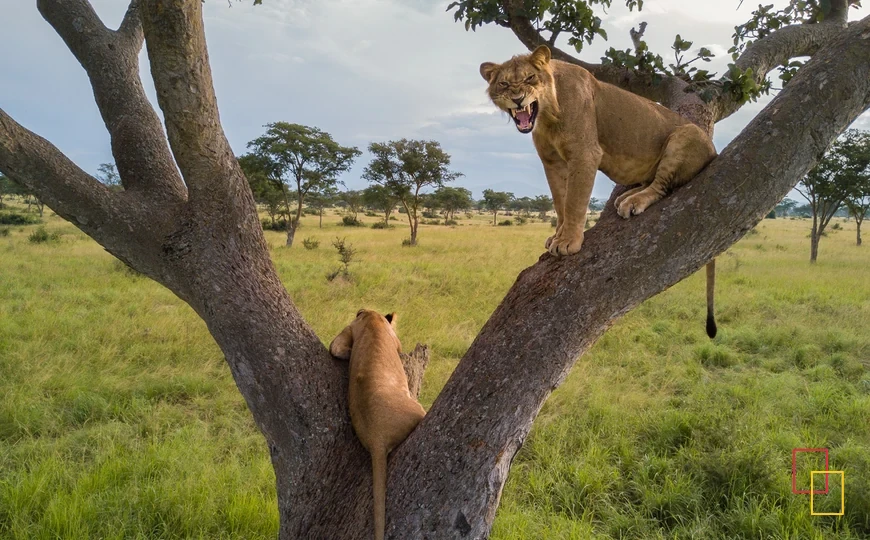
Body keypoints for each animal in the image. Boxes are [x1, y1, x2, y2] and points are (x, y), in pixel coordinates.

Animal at [329, 309, 426, 540]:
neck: (372, 318)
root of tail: (376, 438)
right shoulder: (395, 340)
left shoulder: (348, 330)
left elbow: (335, 347)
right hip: (417, 409)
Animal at [480, 45, 719, 337]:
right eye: (503, 84)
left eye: (529, 78)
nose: (517, 99)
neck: (547, 115)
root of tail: (714, 151)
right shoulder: (551, 161)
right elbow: (560, 202)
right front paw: (558, 235)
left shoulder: (585, 154)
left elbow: (574, 202)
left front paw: (568, 242)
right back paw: (626, 196)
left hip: (685, 134)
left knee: (662, 185)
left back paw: (633, 201)